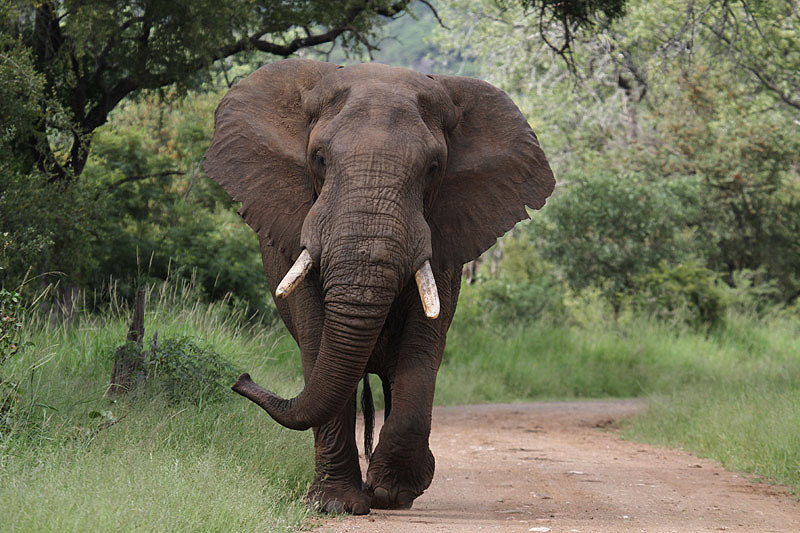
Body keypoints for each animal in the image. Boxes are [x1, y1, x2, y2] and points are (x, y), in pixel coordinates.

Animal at [203, 59, 554, 515]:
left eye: (434, 169)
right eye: (318, 158)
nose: (240, 378)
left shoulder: (443, 241)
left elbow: (422, 344)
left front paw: (392, 493)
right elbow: (317, 338)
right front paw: (335, 505)